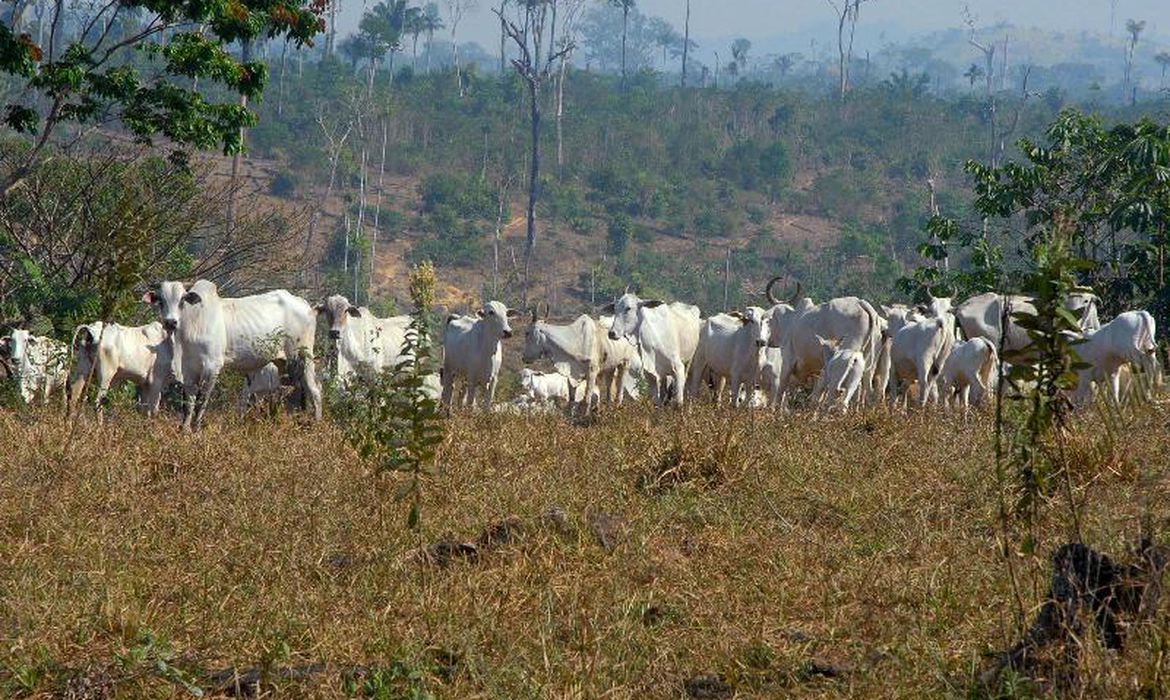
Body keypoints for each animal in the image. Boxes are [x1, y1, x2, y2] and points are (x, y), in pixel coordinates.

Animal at [143, 279, 322, 428]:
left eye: (182, 300)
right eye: (161, 301)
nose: (170, 322)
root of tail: (306, 305)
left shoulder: (212, 367)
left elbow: (202, 401)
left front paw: (196, 429)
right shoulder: (188, 370)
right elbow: (188, 403)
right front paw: (185, 430)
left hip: (303, 357)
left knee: (315, 389)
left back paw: (316, 424)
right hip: (285, 363)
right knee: (300, 389)